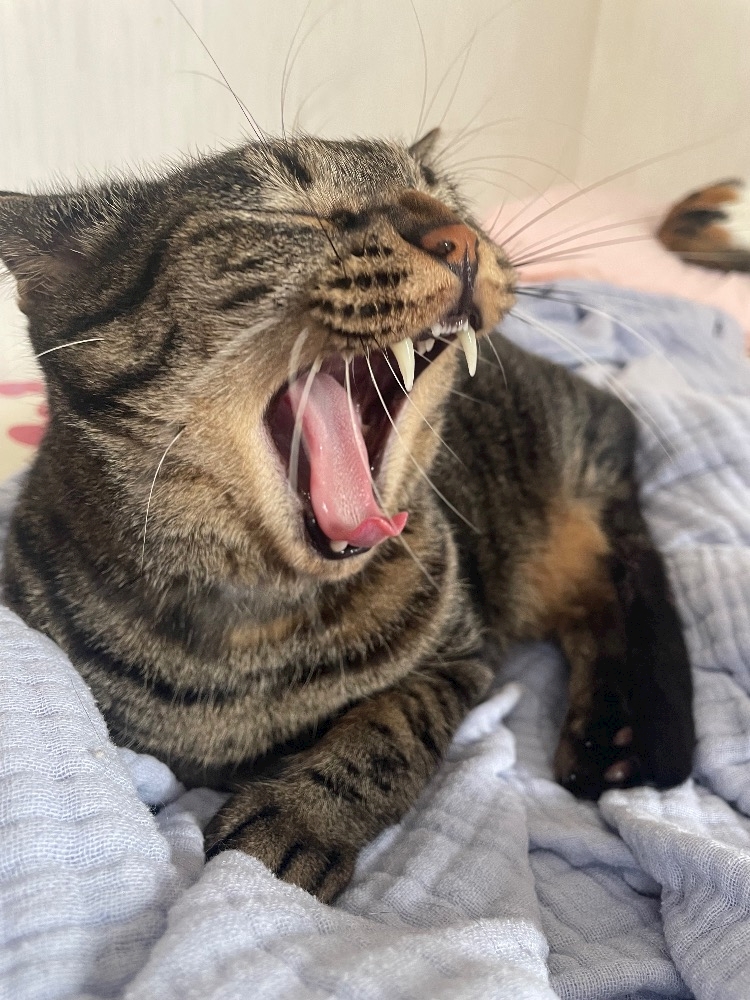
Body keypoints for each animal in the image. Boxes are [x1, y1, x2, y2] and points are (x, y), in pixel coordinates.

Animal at [0, 129, 694, 902]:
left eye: (445, 198)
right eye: (286, 207)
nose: (461, 237)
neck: (257, 632)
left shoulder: (461, 657)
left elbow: (389, 730)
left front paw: (301, 820)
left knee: (620, 576)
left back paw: (618, 738)